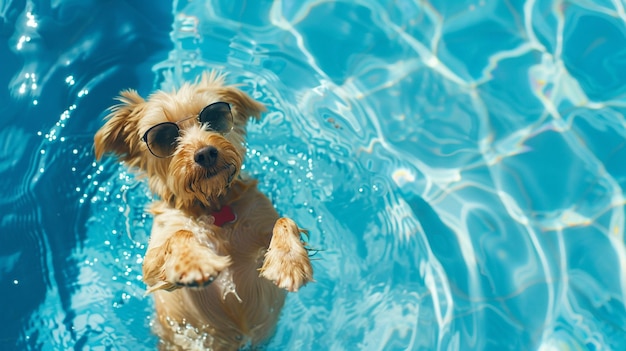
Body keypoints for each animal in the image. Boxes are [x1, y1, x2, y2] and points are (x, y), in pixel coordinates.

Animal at [93, 73, 314, 350]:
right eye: (163, 138)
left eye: (214, 118)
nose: (206, 152)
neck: (213, 207)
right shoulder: (153, 267)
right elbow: (179, 235)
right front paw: (193, 262)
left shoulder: (261, 217)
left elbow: (284, 220)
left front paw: (288, 262)